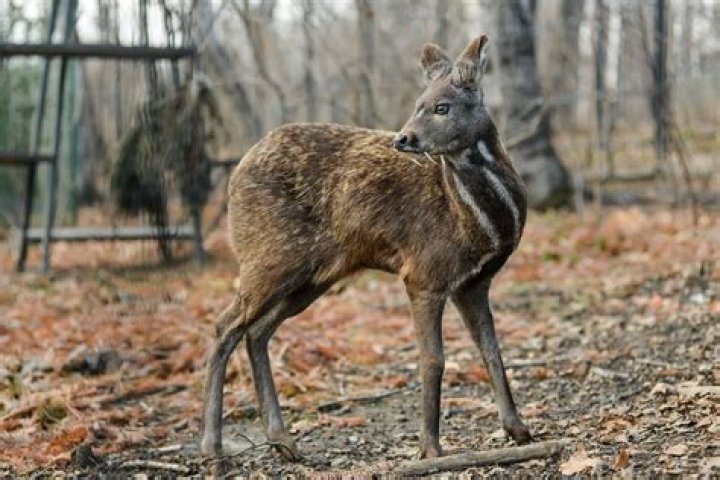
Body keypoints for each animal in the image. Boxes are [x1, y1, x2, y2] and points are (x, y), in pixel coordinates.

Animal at [200, 35, 533, 461]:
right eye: (418, 103)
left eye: (442, 106)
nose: (404, 138)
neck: (478, 223)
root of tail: (236, 172)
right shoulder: (424, 273)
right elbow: (433, 359)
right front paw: (430, 448)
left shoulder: (473, 283)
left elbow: (492, 351)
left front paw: (518, 430)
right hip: (267, 257)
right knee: (225, 325)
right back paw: (212, 447)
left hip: (312, 276)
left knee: (256, 331)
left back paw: (283, 441)